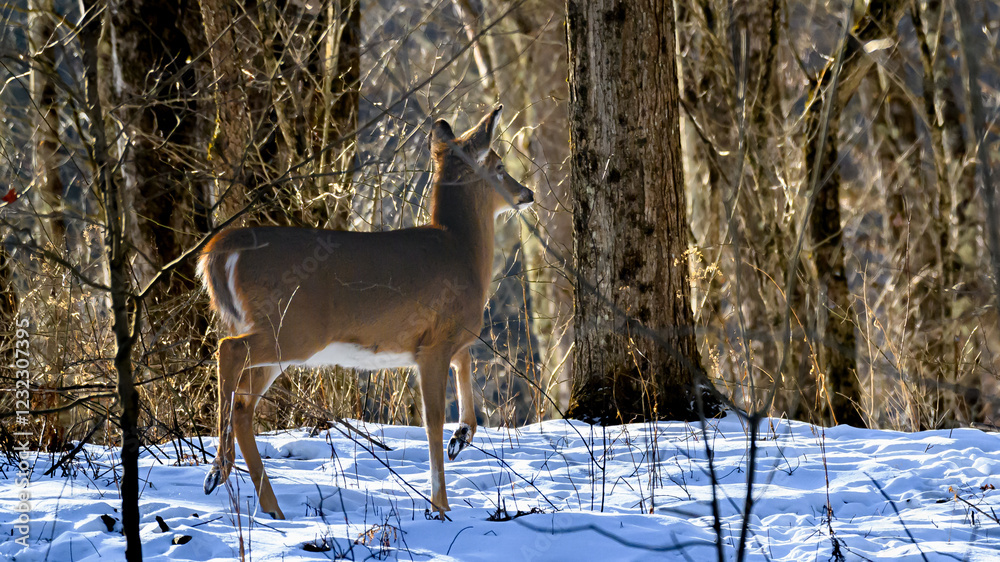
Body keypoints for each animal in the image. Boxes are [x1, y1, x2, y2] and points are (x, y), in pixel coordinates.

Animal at [198, 105, 534, 520]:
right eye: (499, 165)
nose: (527, 193)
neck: (462, 252)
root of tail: (217, 250)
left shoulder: (450, 340)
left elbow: (466, 381)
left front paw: (460, 438)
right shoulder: (433, 344)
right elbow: (432, 419)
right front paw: (439, 507)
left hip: (280, 340)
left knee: (244, 403)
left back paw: (268, 505)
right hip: (292, 329)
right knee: (228, 351)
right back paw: (218, 471)